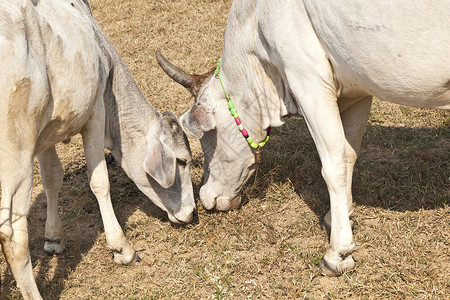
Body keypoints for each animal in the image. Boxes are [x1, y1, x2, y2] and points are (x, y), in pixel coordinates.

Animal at [0, 0, 196, 298]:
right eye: (182, 161)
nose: (192, 212)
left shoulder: (44, 134)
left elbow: (52, 177)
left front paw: (53, 237)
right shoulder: (95, 113)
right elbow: (100, 182)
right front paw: (121, 248)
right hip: (16, 155)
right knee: (12, 233)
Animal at [156, 0, 450, 276]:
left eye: (206, 138)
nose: (206, 196)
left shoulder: (309, 81)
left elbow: (333, 167)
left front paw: (338, 254)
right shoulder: (358, 89)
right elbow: (349, 154)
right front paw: (338, 217)